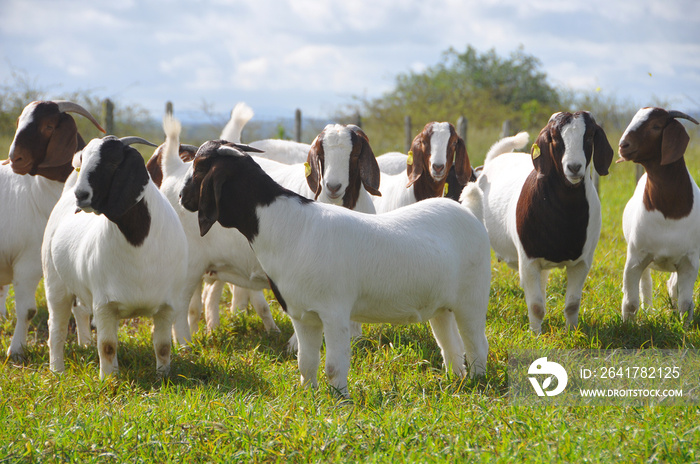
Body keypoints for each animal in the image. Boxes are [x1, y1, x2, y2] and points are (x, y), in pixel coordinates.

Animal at [178, 141, 490, 396]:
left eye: (200, 168)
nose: (181, 197)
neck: (287, 224)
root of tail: (471, 212)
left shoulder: (335, 312)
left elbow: (333, 366)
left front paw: (340, 400)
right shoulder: (303, 315)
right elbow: (306, 362)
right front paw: (309, 394)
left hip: (472, 298)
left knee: (476, 343)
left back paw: (477, 381)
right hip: (441, 306)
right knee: (450, 345)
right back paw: (454, 380)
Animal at [476, 111, 612, 334]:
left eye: (590, 136)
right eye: (555, 138)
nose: (574, 167)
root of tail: (494, 159)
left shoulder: (582, 263)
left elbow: (572, 304)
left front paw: (571, 332)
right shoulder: (528, 260)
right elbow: (536, 306)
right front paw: (535, 335)